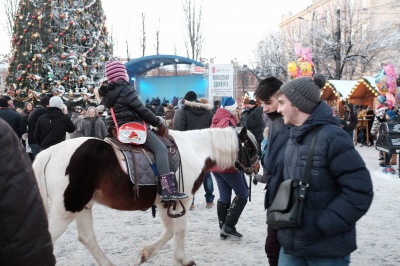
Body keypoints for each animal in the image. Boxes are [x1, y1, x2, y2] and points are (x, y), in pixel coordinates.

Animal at [34, 126, 260, 264]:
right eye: (250, 147)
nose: (257, 168)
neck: (193, 150)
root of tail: (50, 153)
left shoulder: (164, 202)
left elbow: (169, 231)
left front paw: (145, 254)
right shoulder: (183, 200)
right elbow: (179, 231)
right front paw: (183, 260)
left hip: (82, 206)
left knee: (87, 238)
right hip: (66, 209)